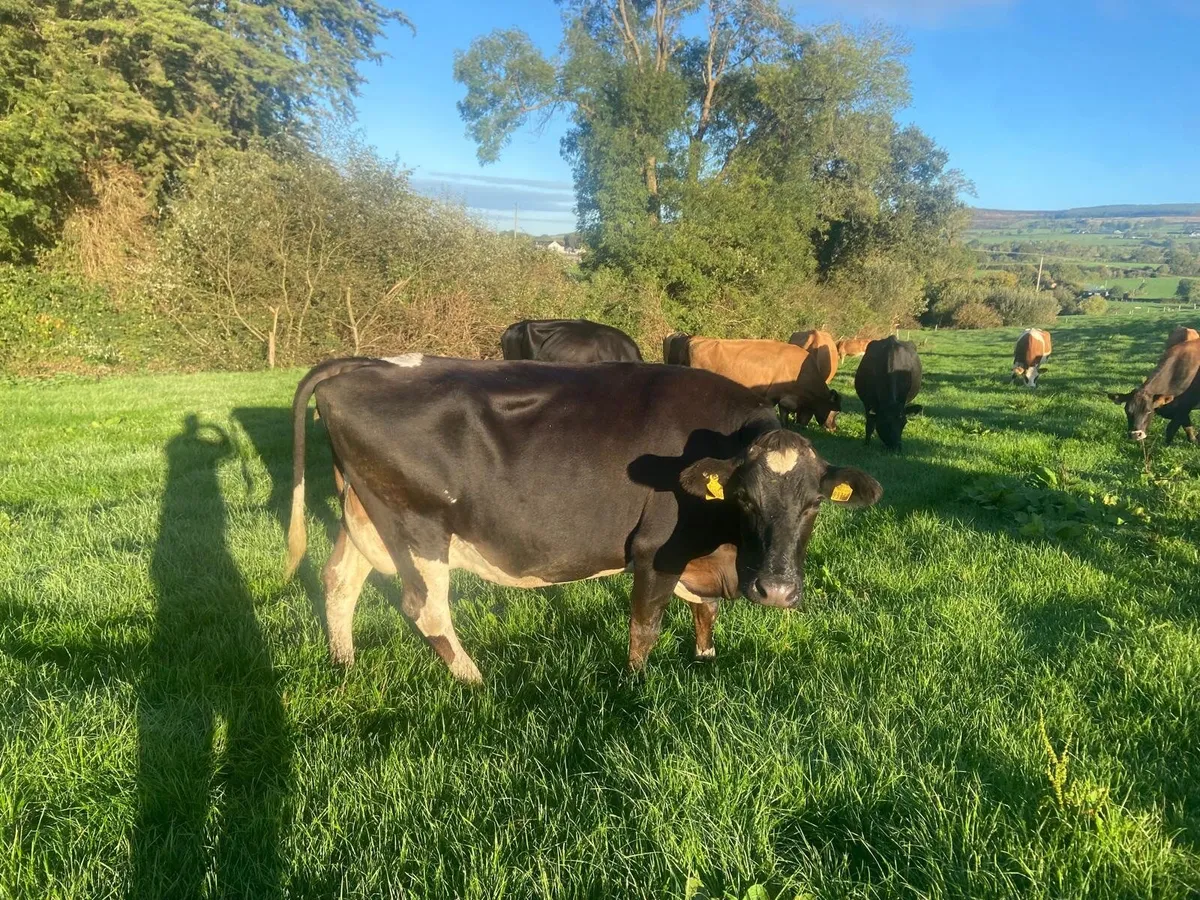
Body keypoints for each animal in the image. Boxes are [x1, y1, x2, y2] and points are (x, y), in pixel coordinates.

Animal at [286, 355, 881, 682]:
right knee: (425, 609)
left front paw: (706, 660)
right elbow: (645, 626)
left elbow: (705, 610)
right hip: (419, 528)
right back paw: (477, 681)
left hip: (366, 515)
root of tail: (369, 363)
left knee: (339, 580)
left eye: (813, 505)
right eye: (745, 499)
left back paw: (344, 663)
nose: (777, 591)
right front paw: (636, 686)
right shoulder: (657, 549)